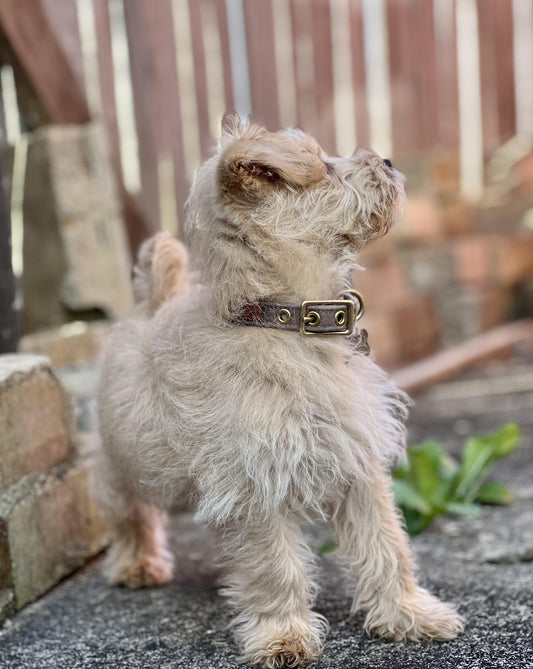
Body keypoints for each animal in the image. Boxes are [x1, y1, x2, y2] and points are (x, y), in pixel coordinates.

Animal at [93, 117, 464, 664]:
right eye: (324, 167)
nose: (388, 160)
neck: (285, 321)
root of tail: (149, 305)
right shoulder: (255, 484)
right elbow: (274, 567)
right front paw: (282, 635)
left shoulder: (358, 465)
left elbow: (387, 546)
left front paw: (408, 615)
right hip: (122, 463)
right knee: (127, 514)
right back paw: (136, 564)